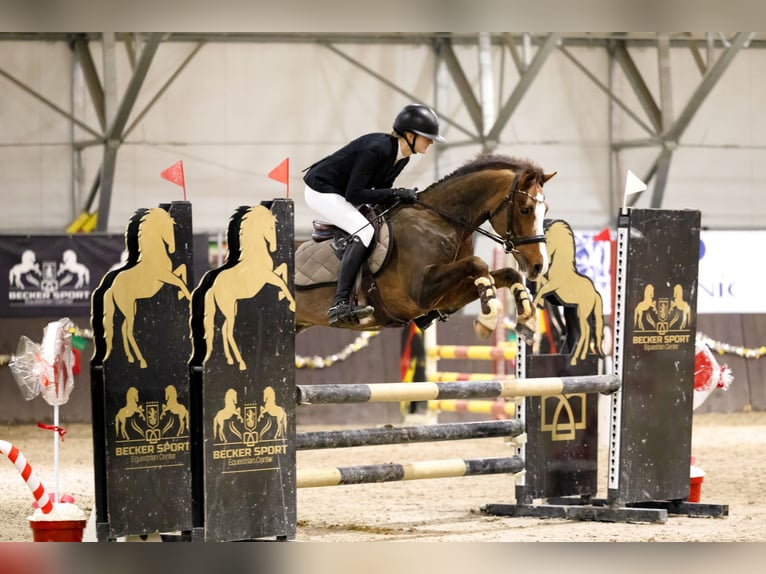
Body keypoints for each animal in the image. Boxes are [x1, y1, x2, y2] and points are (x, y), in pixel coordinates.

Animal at [102, 207, 191, 368]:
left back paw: (131, 358)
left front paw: (182, 294)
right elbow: (179, 281)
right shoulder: (163, 276)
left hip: (132, 307)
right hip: (128, 309)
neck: (155, 256)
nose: (172, 249)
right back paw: (142, 361)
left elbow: (181, 272)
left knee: (123, 329)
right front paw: (188, 296)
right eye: (166, 226)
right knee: (129, 331)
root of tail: (112, 288)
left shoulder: (168, 274)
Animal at [203, 205, 296, 370]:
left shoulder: (269, 274)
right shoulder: (266, 276)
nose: (274, 248)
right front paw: (291, 303)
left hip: (232, 308)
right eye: (270, 227)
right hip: (228, 309)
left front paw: (283, 296)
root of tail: (213, 288)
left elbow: (282, 272)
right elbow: (280, 281)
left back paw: (230, 360)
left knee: (224, 330)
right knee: (229, 332)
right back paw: (241, 363)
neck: (255, 254)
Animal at [295, 153, 554, 342]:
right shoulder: (420, 291)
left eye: (546, 210)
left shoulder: (447, 298)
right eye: (525, 209)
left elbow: (508, 274)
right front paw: (488, 318)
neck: (442, 221)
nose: (539, 265)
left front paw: (527, 321)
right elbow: (477, 263)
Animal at [531, 220, 604, 366]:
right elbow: (540, 283)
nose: (541, 260)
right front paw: (538, 301)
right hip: (578, 311)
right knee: (585, 331)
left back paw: (576, 358)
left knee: (583, 332)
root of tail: (595, 293)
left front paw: (536, 302)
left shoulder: (554, 286)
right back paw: (580, 355)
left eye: (549, 241)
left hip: (581, 312)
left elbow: (542, 289)